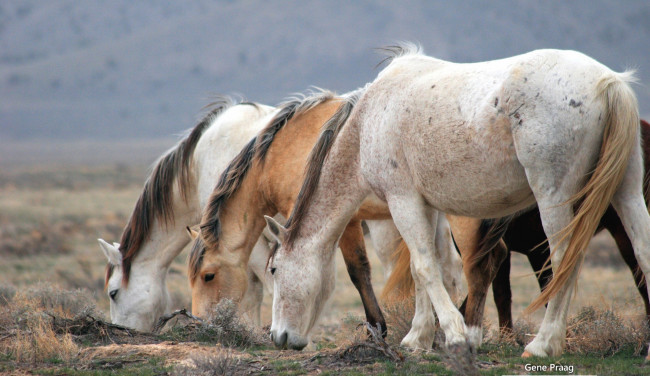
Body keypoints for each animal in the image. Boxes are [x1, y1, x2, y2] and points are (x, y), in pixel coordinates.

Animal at [187, 89, 466, 342]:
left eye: (208, 276)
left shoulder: (342, 221)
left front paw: (376, 328)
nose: (201, 323)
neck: (282, 154)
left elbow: (357, 271)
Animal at [264, 44, 644, 358]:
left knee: (564, 260)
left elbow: (424, 267)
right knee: (643, 252)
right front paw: (418, 339)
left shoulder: (403, 201)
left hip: (553, 197)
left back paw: (542, 344)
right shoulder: (426, 207)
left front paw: (455, 334)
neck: (369, 119)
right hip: (627, 192)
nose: (278, 337)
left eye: (274, 269)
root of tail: (609, 82)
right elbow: (426, 269)